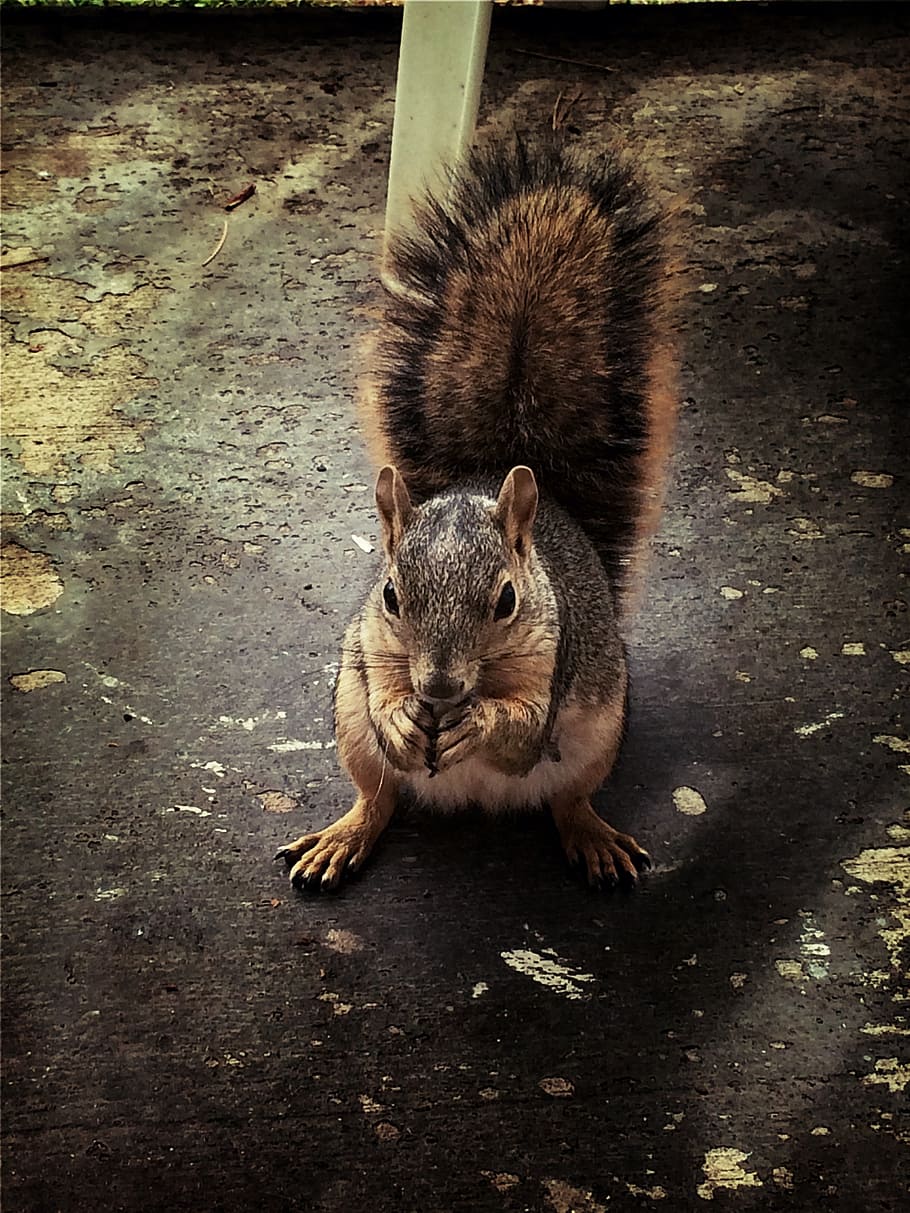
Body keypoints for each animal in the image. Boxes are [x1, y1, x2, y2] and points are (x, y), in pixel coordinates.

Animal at [276, 137, 676, 891]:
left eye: (507, 601)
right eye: (390, 594)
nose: (437, 686)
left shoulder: (555, 659)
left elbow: (520, 730)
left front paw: (480, 723)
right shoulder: (370, 647)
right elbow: (384, 693)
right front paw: (403, 716)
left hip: (600, 733)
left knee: (567, 798)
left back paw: (593, 837)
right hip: (348, 729)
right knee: (378, 794)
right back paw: (343, 835)